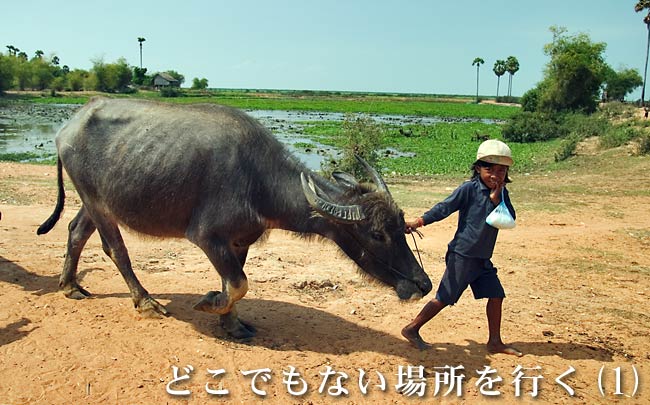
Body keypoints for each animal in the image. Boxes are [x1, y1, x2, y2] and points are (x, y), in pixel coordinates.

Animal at [36, 97, 430, 338]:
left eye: (401, 226)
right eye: (377, 234)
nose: (423, 284)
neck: (257, 180)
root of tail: (69, 125)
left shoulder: (240, 241)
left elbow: (235, 283)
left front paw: (233, 324)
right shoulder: (207, 237)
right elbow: (238, 284)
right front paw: (207, 303)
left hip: (97, 201)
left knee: (75, 230)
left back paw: (70, 285)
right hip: (96, 202)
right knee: (115, 249)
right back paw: (145, 302)